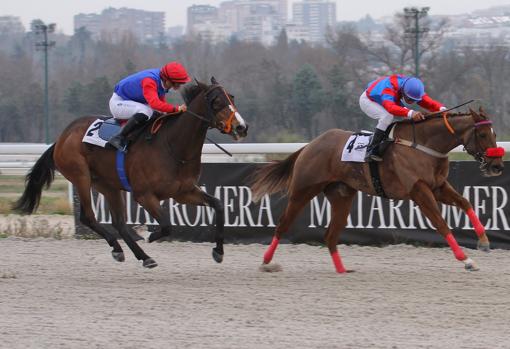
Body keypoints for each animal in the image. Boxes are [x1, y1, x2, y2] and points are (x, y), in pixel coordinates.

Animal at [14, 77, 249, 268]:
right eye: (217, 101)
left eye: (232, 98)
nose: (241, 127)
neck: (173, 146)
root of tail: (62, 137)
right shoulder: (144, 195)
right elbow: (166, 225)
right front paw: (151, 235)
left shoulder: (184, 192)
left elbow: (218, 205)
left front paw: (218, 251)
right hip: (81, 176)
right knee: (88, 216)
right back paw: (120, 248)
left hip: (108, 186)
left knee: (118, 222)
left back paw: (141, 256)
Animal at [250, 108, 502, 272]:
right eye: (482, 134)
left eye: (494, 134)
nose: (497, 166)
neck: (424, 145)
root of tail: (310, 145)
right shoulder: (419, 191)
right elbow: (441, 223)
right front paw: (466, 259)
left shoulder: (438, 186)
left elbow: (465, 203)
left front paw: (484, 242)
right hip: (303, 190)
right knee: (283, 225)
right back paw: (266, 262)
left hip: (342, 195)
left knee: (330, 234)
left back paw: (342, 270)